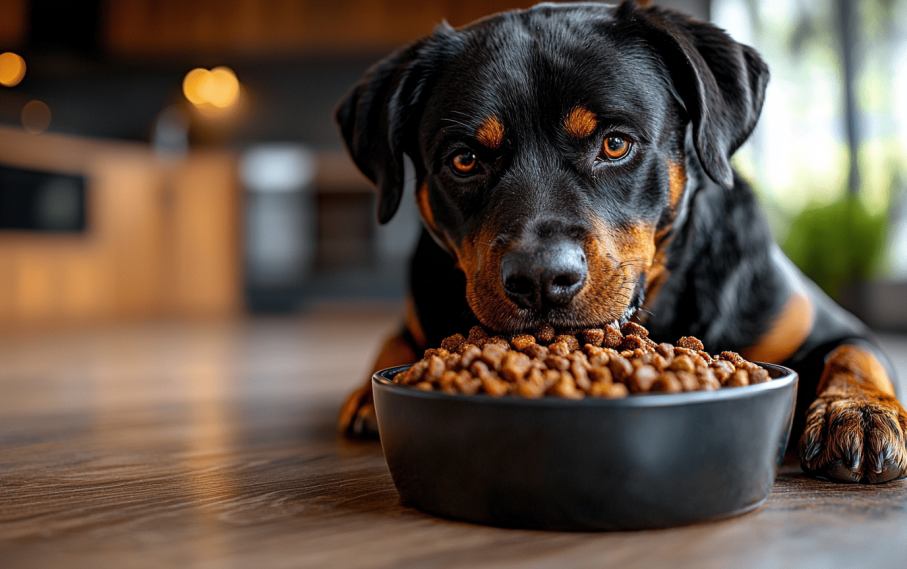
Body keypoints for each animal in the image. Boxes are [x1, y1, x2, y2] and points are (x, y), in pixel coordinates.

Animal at [334, 0, 907, 482]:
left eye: (614, 144)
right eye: (464, 159)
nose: (542, 278)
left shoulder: (817, 320)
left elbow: (856, 353)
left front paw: (858, 413)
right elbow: (395, 340)